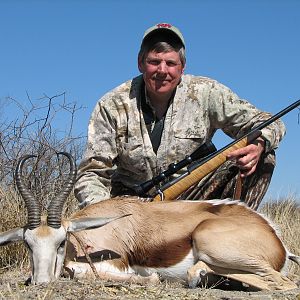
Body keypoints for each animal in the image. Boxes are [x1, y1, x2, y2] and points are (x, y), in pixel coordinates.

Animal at [0, 154, 298, 290]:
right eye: (27, 244)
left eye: (61, 242)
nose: (41, 282)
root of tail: (276, 239)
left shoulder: (116, 263)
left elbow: (77, 271)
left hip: (211, 244)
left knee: (283, 283)